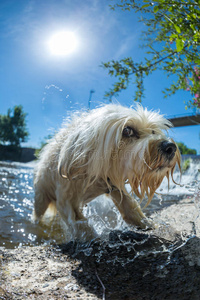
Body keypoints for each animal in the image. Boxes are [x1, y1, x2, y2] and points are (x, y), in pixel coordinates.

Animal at [33, 104, 181, 238]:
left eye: (153, 131)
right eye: (127, 130)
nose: (170, 147)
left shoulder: (114, 184)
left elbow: (130, 207)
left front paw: (148, 224)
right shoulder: (65, 199)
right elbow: (80, 224)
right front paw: (91, 238)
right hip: (41, 198)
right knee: (38, 214)